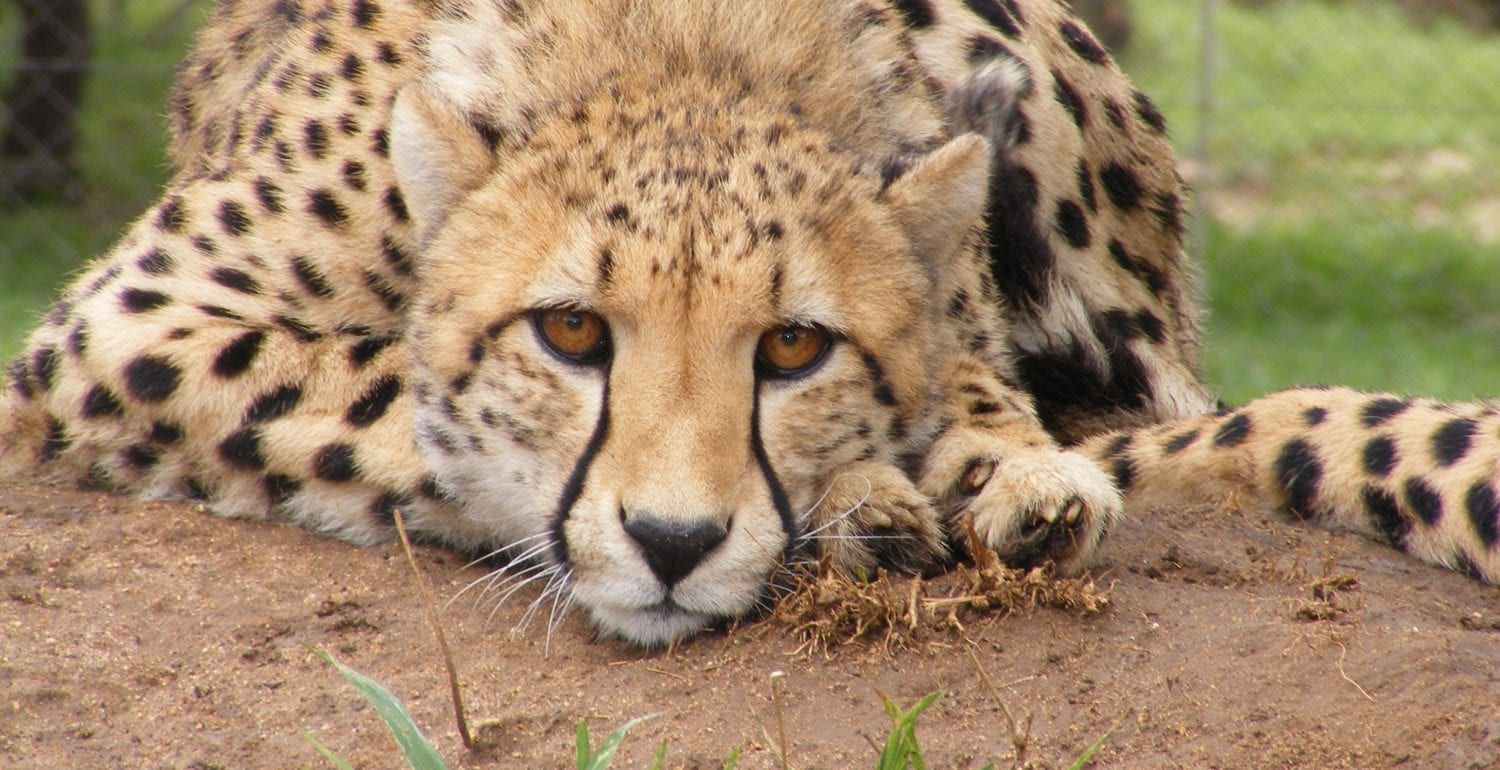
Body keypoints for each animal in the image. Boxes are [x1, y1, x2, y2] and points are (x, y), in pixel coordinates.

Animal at [0, 0, 1494, 645]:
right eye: (571, 334)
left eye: (791, 345)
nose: (673, 545)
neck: (676, 46)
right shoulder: (130, 328)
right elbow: (395, 403)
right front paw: (849, 504)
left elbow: (982, 391)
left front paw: (989, 480)